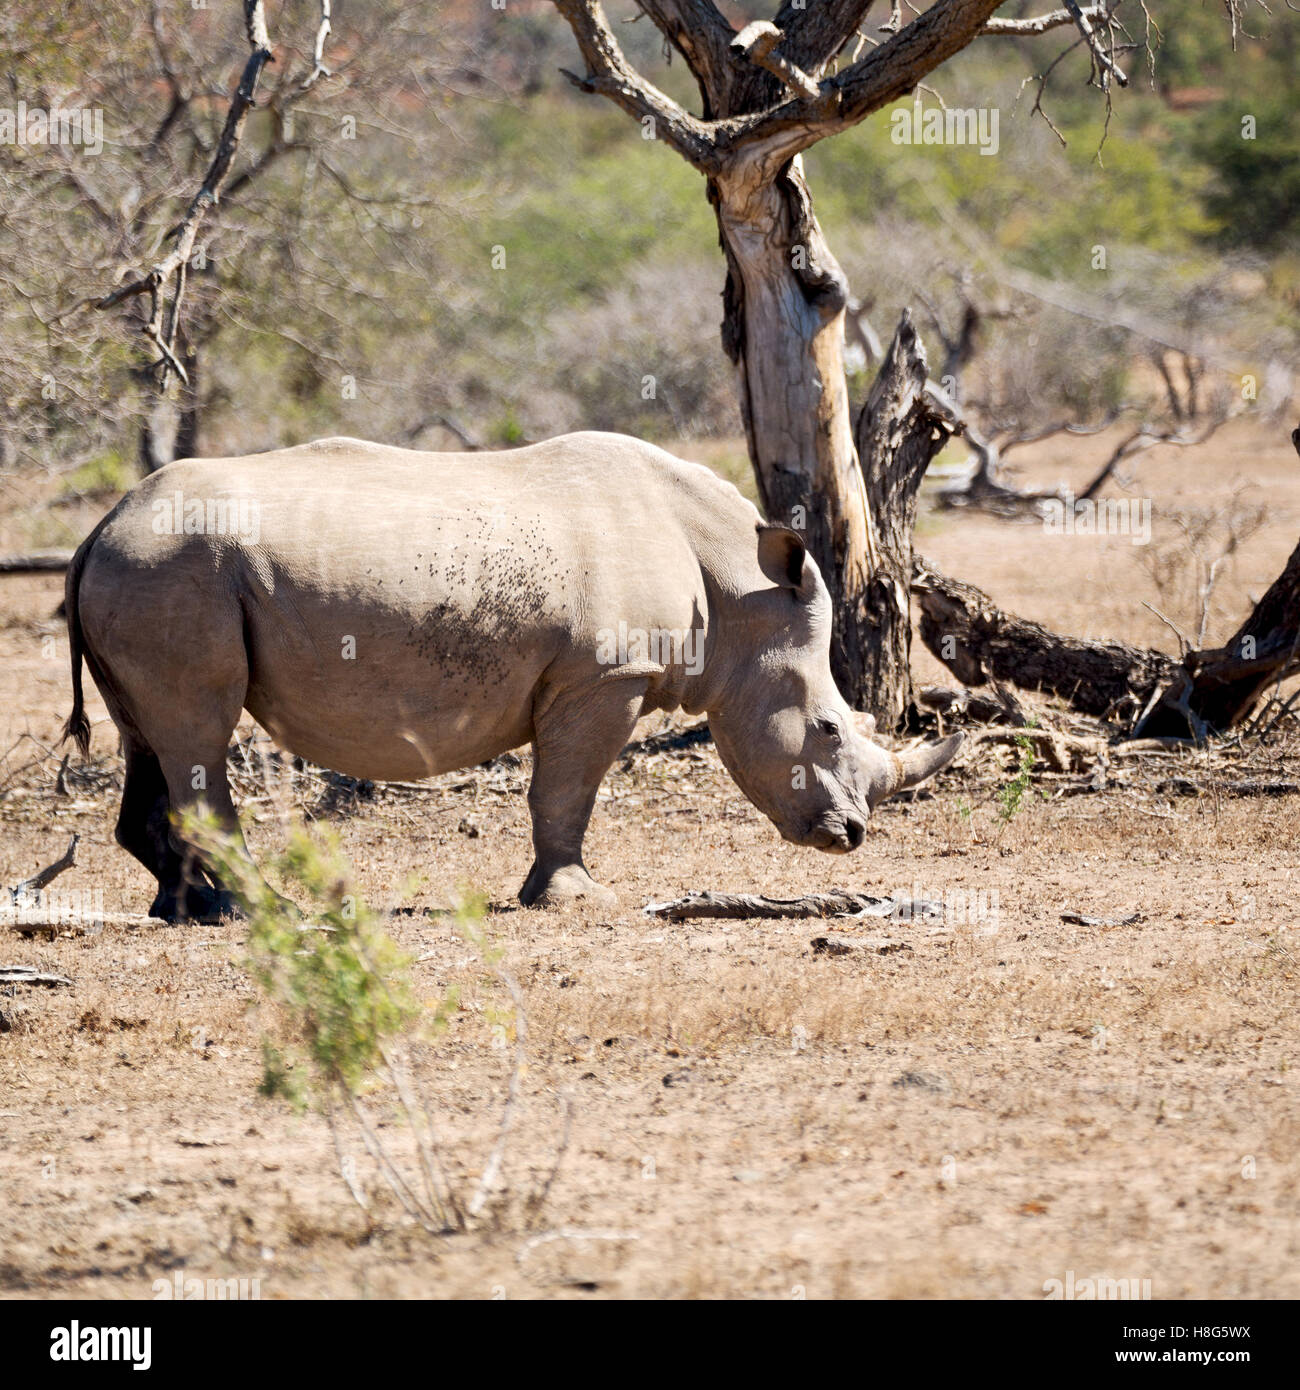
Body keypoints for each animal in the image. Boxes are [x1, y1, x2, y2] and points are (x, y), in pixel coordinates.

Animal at [63, 432, 962, 921]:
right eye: (827, 728)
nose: (851, 837)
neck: (739, 590)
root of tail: (100, 526)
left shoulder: (599, 677)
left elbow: (562, 789)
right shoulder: (605, 676)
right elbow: (566, 789)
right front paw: (572, 898)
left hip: (150, 572)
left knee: (154, 735)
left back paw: (194, 912)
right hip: (175, 568)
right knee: (199, 732)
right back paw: (264, 911)